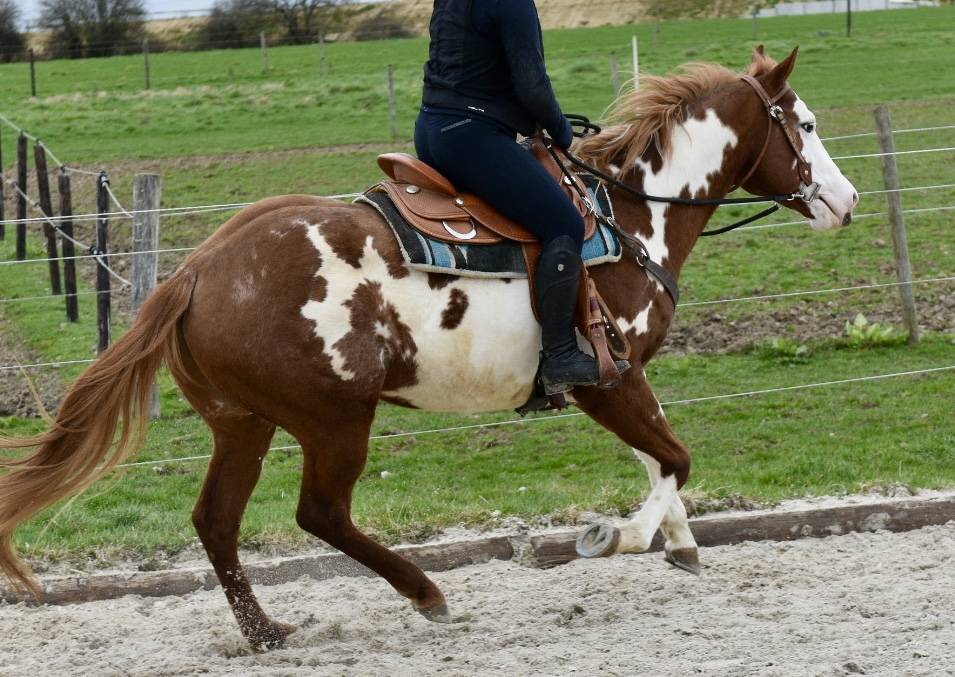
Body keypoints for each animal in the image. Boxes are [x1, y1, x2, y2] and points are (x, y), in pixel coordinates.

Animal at [0, 46, 857, 649]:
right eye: (807, 124)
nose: (845, 200)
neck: (626, 219)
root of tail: (197, 269)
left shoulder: (623, 379)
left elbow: (659, 456)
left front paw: (678, 542)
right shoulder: (604, 380)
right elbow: (673, 457)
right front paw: (619, 536)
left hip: (243, 423)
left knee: (216, 519)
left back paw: (267, 631)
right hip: (334, 419)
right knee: (320, 513)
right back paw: (426, 593)